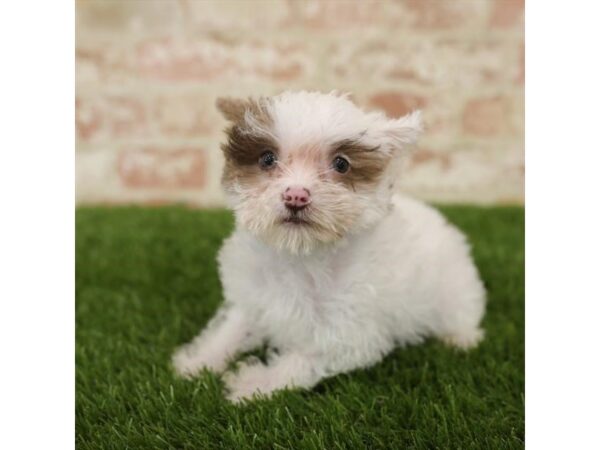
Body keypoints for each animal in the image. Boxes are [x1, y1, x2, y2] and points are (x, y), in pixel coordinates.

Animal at [171, 90, 486, 400]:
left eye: (341, 164)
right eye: (267, 159)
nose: (296, 196)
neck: (301, 255)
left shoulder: (350, 333)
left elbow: (301, 359)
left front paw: (252, 384)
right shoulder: (253, 297)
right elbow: (232, 328)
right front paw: (199, 361)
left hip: (455, 287)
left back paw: (461, 338)